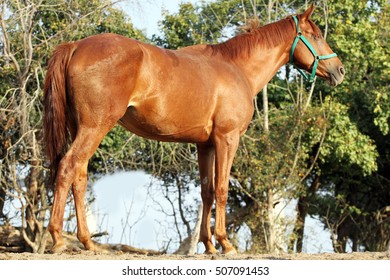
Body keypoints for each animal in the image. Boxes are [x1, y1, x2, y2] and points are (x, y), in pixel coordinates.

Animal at [42, 3, 344, 254]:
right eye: (316, 35)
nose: (339, 70)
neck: (236, 68)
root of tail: (76, 46)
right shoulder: (226, 139)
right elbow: (222, 189)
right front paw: (224, 243)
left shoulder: (205, 144)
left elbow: (207, 191)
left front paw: (208, 245)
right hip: (95, 126)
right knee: (68, 167)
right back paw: (57, 238)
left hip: (82, 128)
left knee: (79, 175)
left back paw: (87, 241)